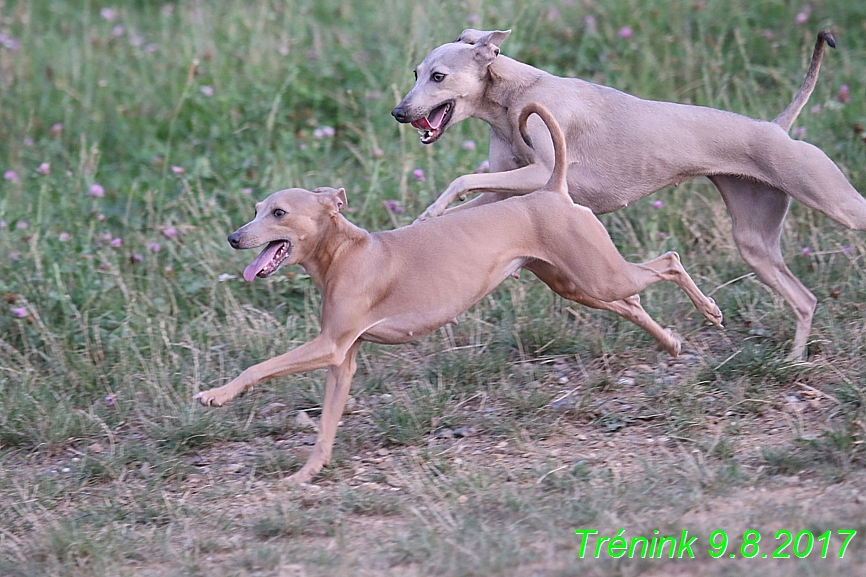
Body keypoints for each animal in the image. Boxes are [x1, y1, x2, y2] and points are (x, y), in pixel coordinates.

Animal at [196, 103, 724, 482]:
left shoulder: (329, 346)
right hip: (576, 284)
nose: (234, 238)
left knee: (668, 262)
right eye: (257, 208)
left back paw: (710, 310)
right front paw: (306, 474)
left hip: (599, 276)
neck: (347, 252)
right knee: (633, 303)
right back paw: (671, 342)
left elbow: (259, 367)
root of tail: (552, 189)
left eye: (279, 213)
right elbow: (325, 427)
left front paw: (216, 396)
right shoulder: (341, 359)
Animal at [392, 30, 856, 360]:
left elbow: (462, 179)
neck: (517, 92)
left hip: (838, 205)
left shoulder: (541, 172)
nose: (398, 112)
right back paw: (791, 355)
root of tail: (777, 127)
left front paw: (429, 214)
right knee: (805, 300)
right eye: (415, 73)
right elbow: (466, 194)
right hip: (755, 244)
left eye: (438, 76)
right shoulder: (510, 187)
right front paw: (424, 221)